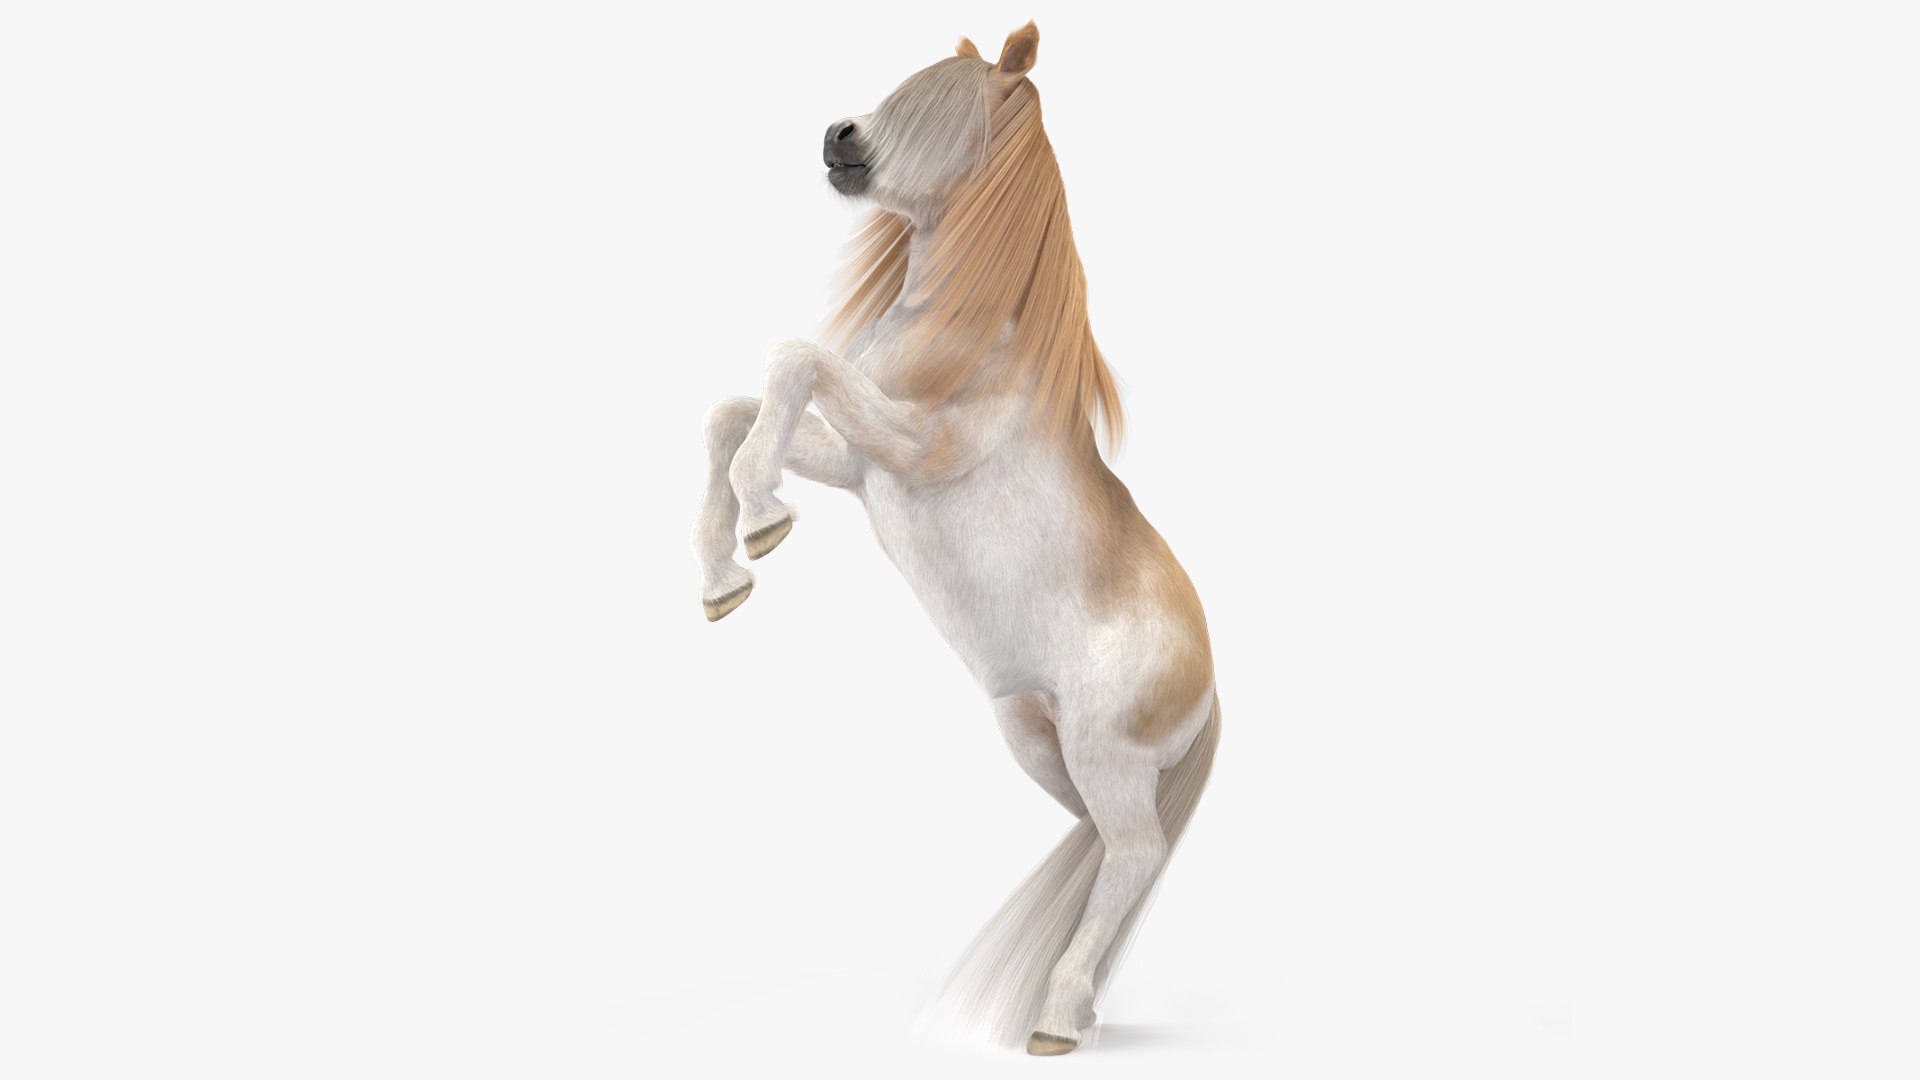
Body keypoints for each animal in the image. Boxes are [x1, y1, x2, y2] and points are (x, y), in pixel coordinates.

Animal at [691, 22, 1219, 1056]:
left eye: (945, 107)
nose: (837, 135)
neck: (982, 337)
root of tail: (1212, 682)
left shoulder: (911, 448)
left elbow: (794, 359)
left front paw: (764, 522)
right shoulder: (864, 468)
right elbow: (736, 411)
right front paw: (726, 574)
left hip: (1102, 750)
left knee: (1136, 852)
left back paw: (1056, 1017)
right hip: (1036, 739)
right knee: (1109, 848)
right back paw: (1076, 998)